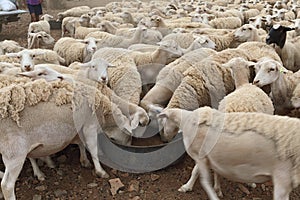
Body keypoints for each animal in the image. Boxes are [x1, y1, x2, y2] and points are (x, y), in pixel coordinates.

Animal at [156, 107, 300, 200]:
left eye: (163, 121)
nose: (164, 138)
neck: (187, 120)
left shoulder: (200, 156)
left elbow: (204, 180)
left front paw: (212, 193)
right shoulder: (203, 156)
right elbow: (197, 171)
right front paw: (188, 187)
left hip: (283, 176)